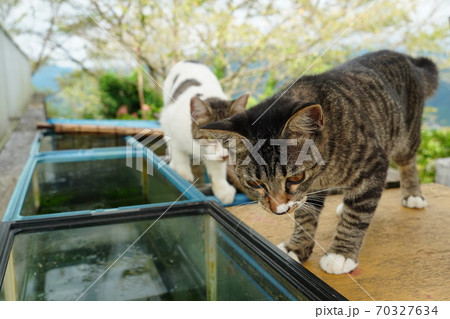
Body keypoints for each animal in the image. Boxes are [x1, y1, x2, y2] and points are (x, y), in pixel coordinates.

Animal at [159, 60, 250, 205]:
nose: (225, 155)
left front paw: (221, 188)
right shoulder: (169, 125)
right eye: (211, 138)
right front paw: (183, 173)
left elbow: (217, 168)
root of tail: (190, 60)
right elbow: (179, 154)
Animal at [201, 50, 440, 276]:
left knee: (407, 163)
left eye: (295, 177)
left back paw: (412, 195)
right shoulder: (310, 190)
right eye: (255, 184)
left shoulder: (374, 163)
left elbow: (356, 215)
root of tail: (407, 59)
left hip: (405, 137)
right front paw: (297, 247)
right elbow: (306, 214)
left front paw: (341, 254)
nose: (279, 210)